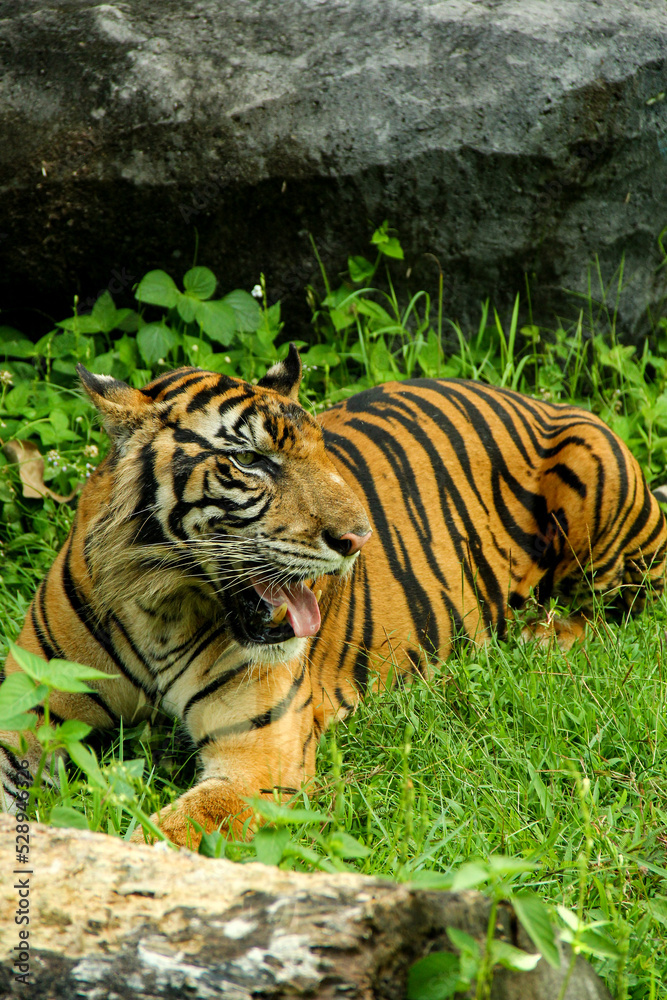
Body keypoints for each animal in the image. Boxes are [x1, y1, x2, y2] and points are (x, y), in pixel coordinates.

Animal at [2, 344, 666, 846]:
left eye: (321, 453)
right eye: (250, 460)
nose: (358, 538)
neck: (159, 603)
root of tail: (541, 399)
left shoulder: (259, 756)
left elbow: (162, 834)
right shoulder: (28, 708)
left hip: (601, 490)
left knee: (628, 607)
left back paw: (544, 637)